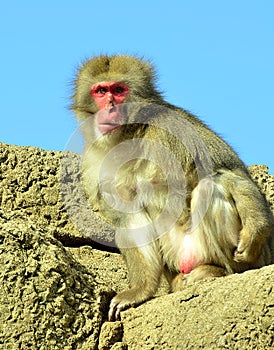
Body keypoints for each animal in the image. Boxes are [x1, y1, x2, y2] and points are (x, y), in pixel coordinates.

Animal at [71, 54, 274, 320]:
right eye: (101, 91)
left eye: (119, 90)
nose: (110, 107)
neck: (129, 135)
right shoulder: (95, 161)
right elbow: (127, 212)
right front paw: (140, 290)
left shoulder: (170, 131)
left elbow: (228, 172)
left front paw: (256, 231)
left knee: (211, 186)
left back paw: (220, 271)